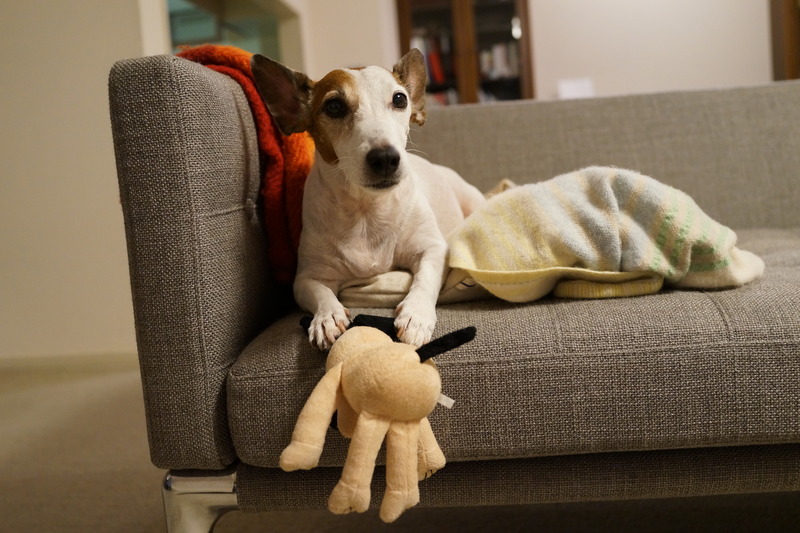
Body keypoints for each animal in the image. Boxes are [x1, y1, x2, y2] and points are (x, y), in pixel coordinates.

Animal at [251, 49, 485, 349]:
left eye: (400, 99)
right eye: (334, 106)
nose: (385, 158)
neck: (367, 207)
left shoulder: (432, 249)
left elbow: (425, 278)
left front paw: (416, 315)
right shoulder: (307, 277)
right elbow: (319, 291)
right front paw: (327, 317)